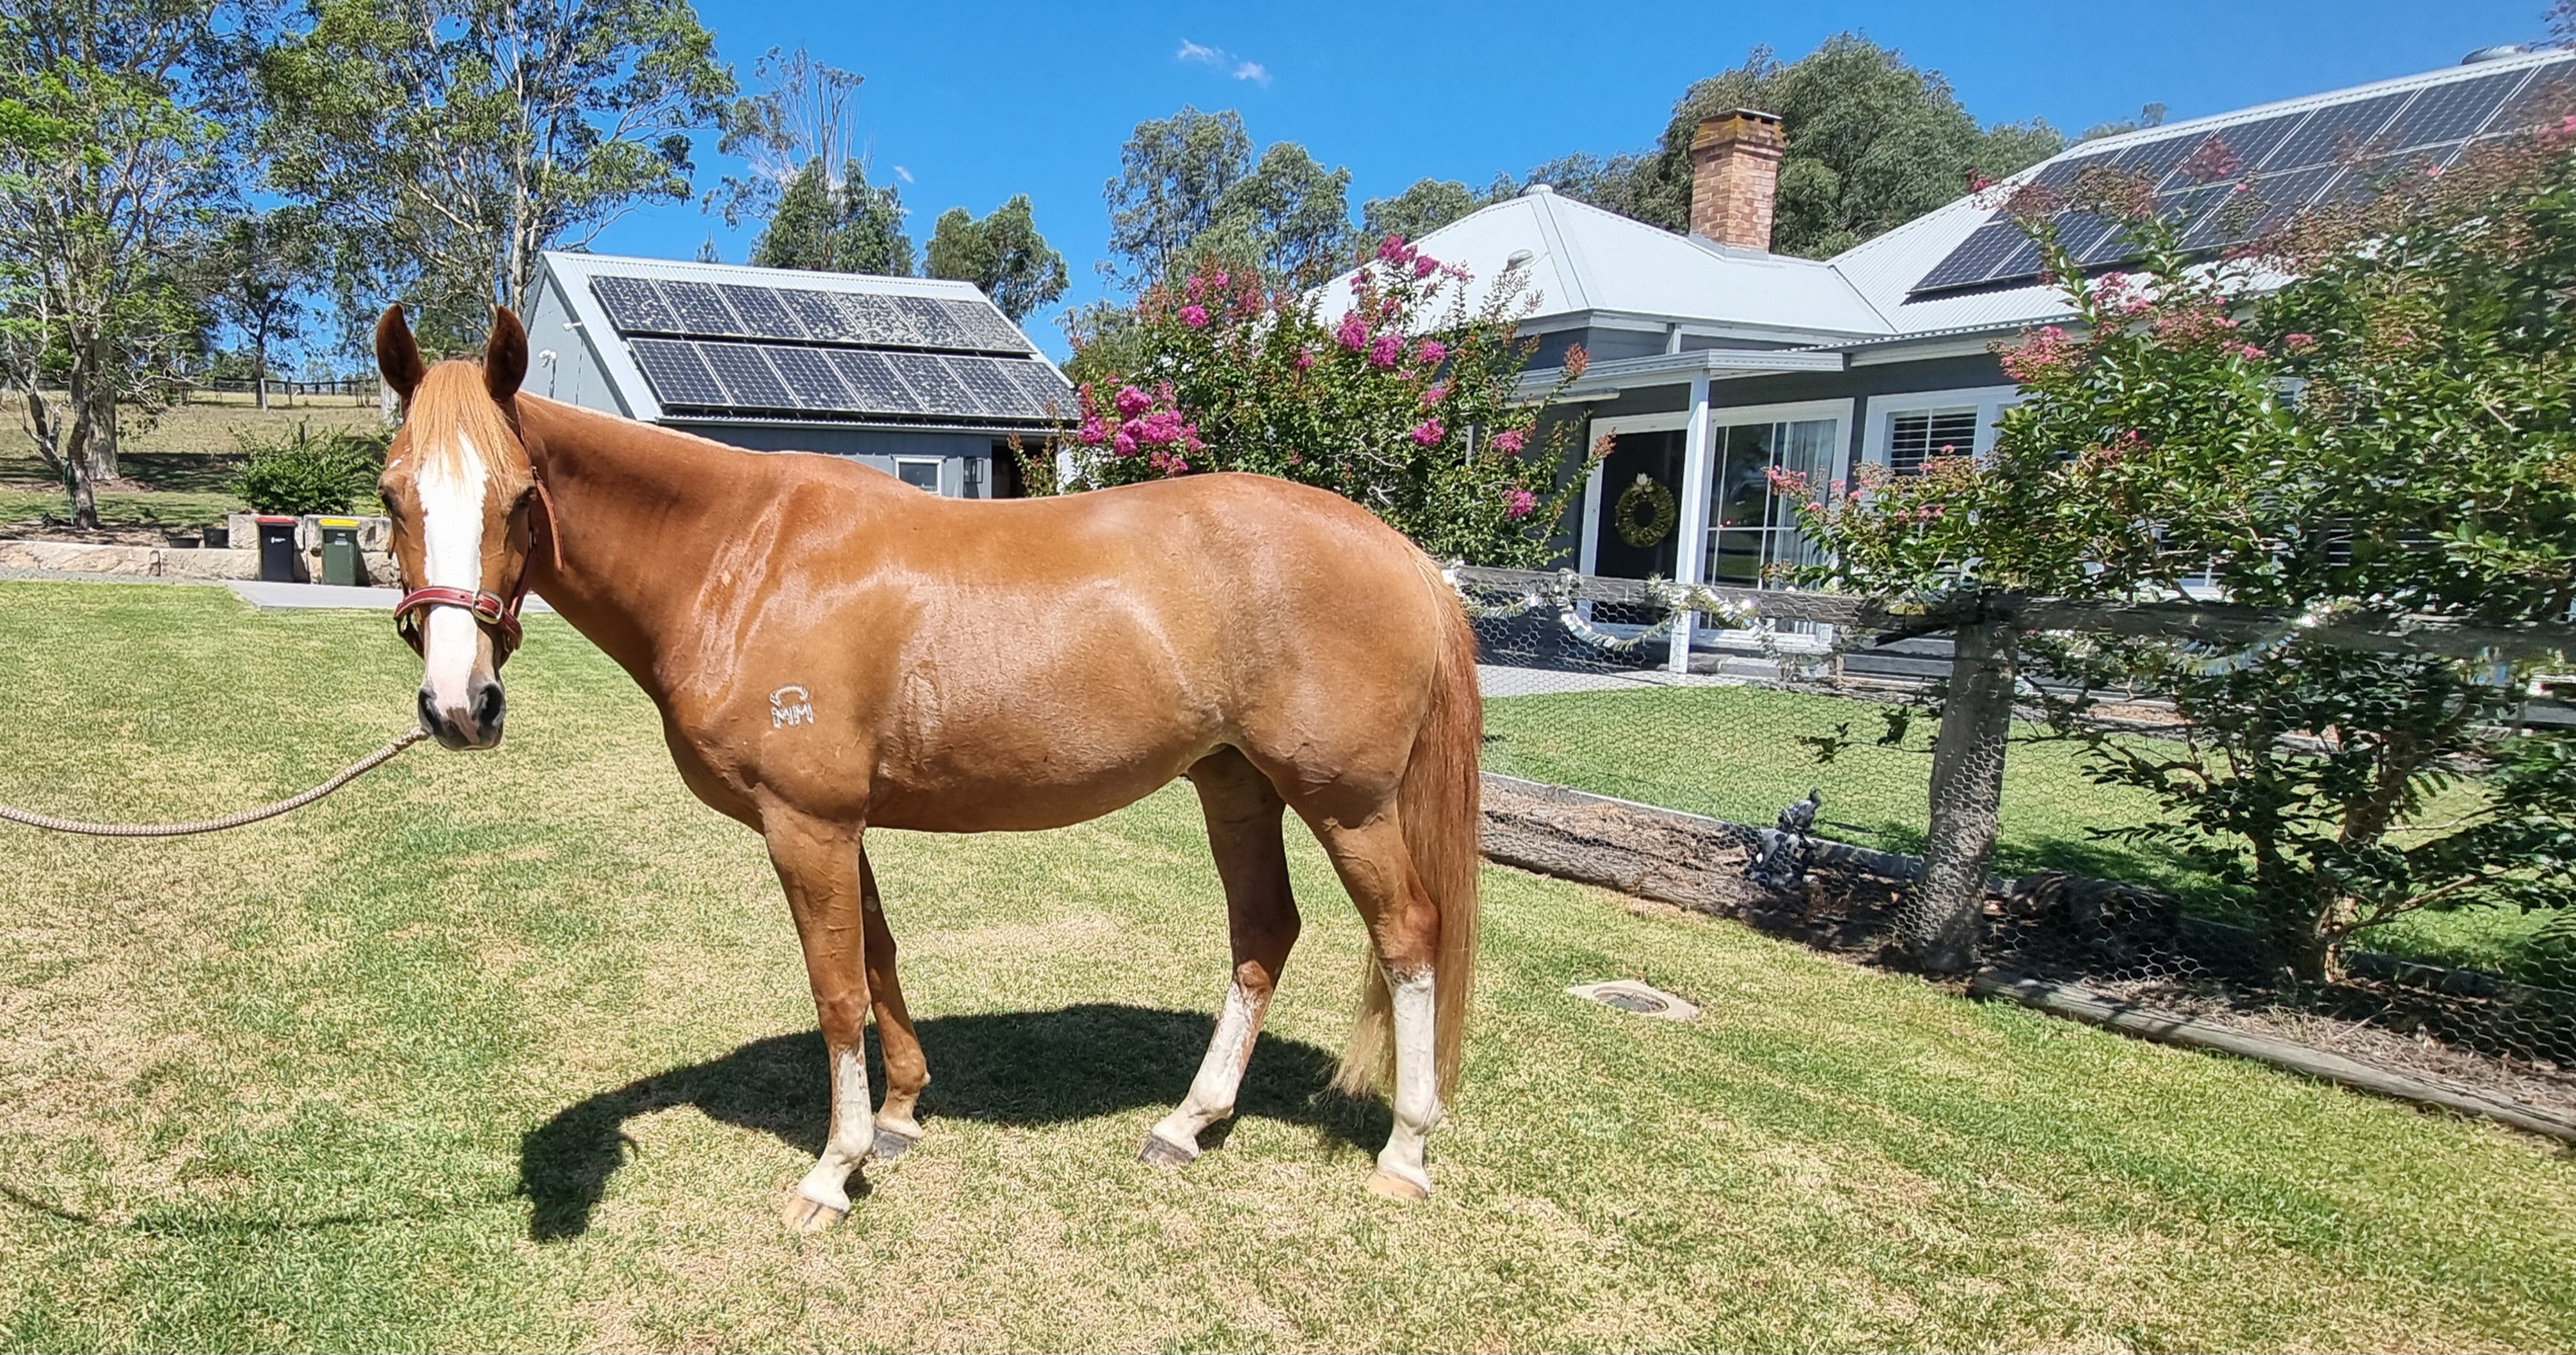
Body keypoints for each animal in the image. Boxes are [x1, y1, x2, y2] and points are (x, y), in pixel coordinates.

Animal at [372, 304, 1483, 1231]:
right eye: (391, 494)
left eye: (522, 496)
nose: (460, 706)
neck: (745, 560)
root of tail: (1402, 552)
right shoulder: (838, 821)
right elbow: (876, 957)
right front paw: (901, 1114)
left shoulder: (807, 823)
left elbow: (833, 990)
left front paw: (833, 1171)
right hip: (1234, 784)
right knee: (1264, 932)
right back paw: (1187, 1123)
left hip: (1347, 805)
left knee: (1408, 937)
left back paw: (1406, 1152)